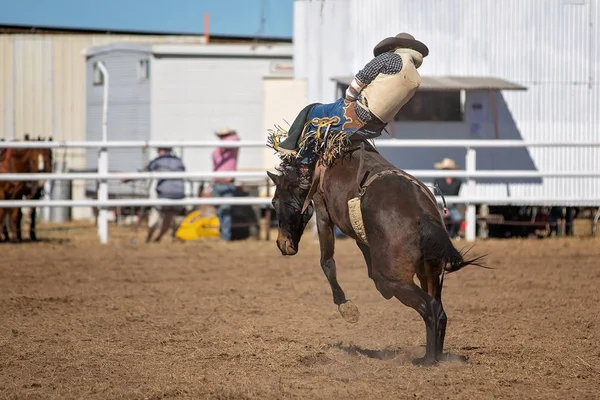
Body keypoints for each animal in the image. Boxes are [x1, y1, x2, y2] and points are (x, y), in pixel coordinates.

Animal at [268, 140, 488, 366]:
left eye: (275, 201)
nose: (281, 243)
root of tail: (422, 215)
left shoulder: (322, 210)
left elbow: (327, 262)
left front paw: (345, 307)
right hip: (430, 273)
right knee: (439, 310)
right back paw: (436, 355)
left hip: (398, 280)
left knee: (430, 308)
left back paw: (427, 359)